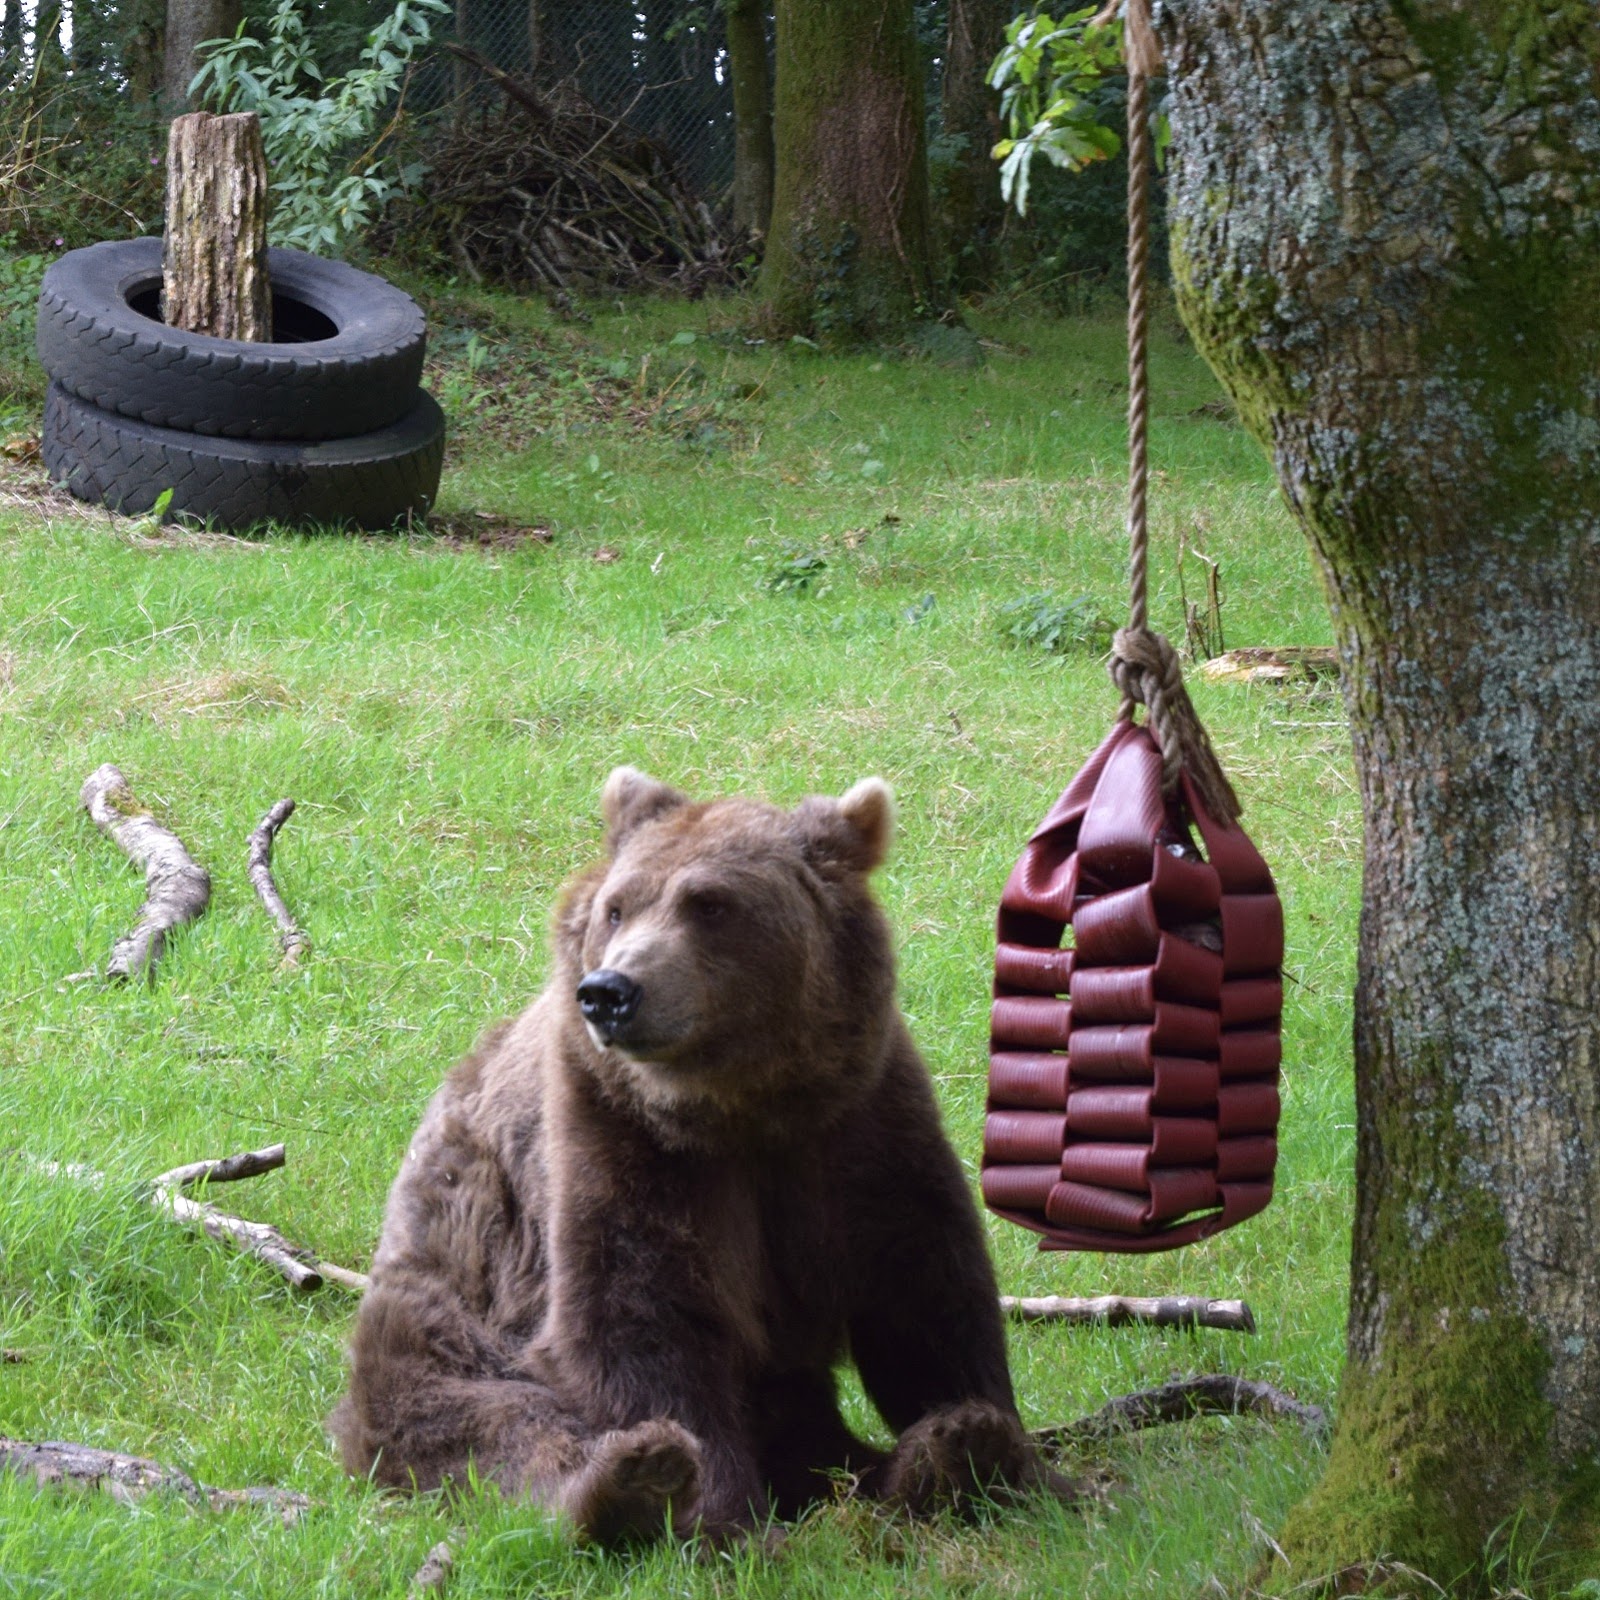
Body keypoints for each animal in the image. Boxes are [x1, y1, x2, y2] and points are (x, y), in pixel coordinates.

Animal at [329, 767, 1074, 1543]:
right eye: (617, 908)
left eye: (710, 903)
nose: (610, 992)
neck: (741, 1108)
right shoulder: (620, 1137)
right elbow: (645, 1316)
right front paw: (711, 1512)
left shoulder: (860, 1122)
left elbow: (924, 1289)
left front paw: (987, 1438)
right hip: (448, 1320)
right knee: (495, 1424)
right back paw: (626, 1484)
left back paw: (926, 1463)